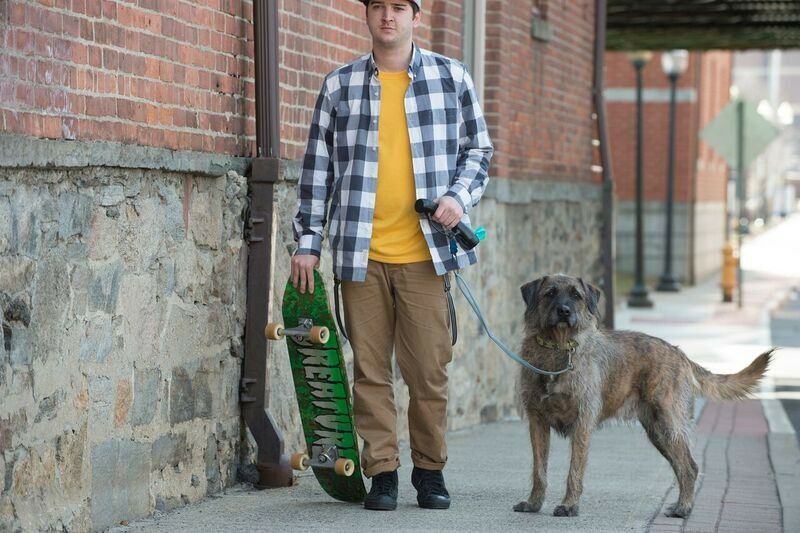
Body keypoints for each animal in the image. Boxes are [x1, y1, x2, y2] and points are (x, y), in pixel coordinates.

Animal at [513, 274, 773, 518]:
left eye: (576, 295)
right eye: (550, 293)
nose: (564, 311)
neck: (557, 348)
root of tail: (680, 354)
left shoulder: (582, 423)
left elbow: (574, 470)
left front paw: (569, 506)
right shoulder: (537, 422)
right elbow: (539, 470)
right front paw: (534, 503)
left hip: (669, 424)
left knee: (689, 467)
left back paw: (684, 508)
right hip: (658, 431)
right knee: (682, 466)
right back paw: (681, 505)